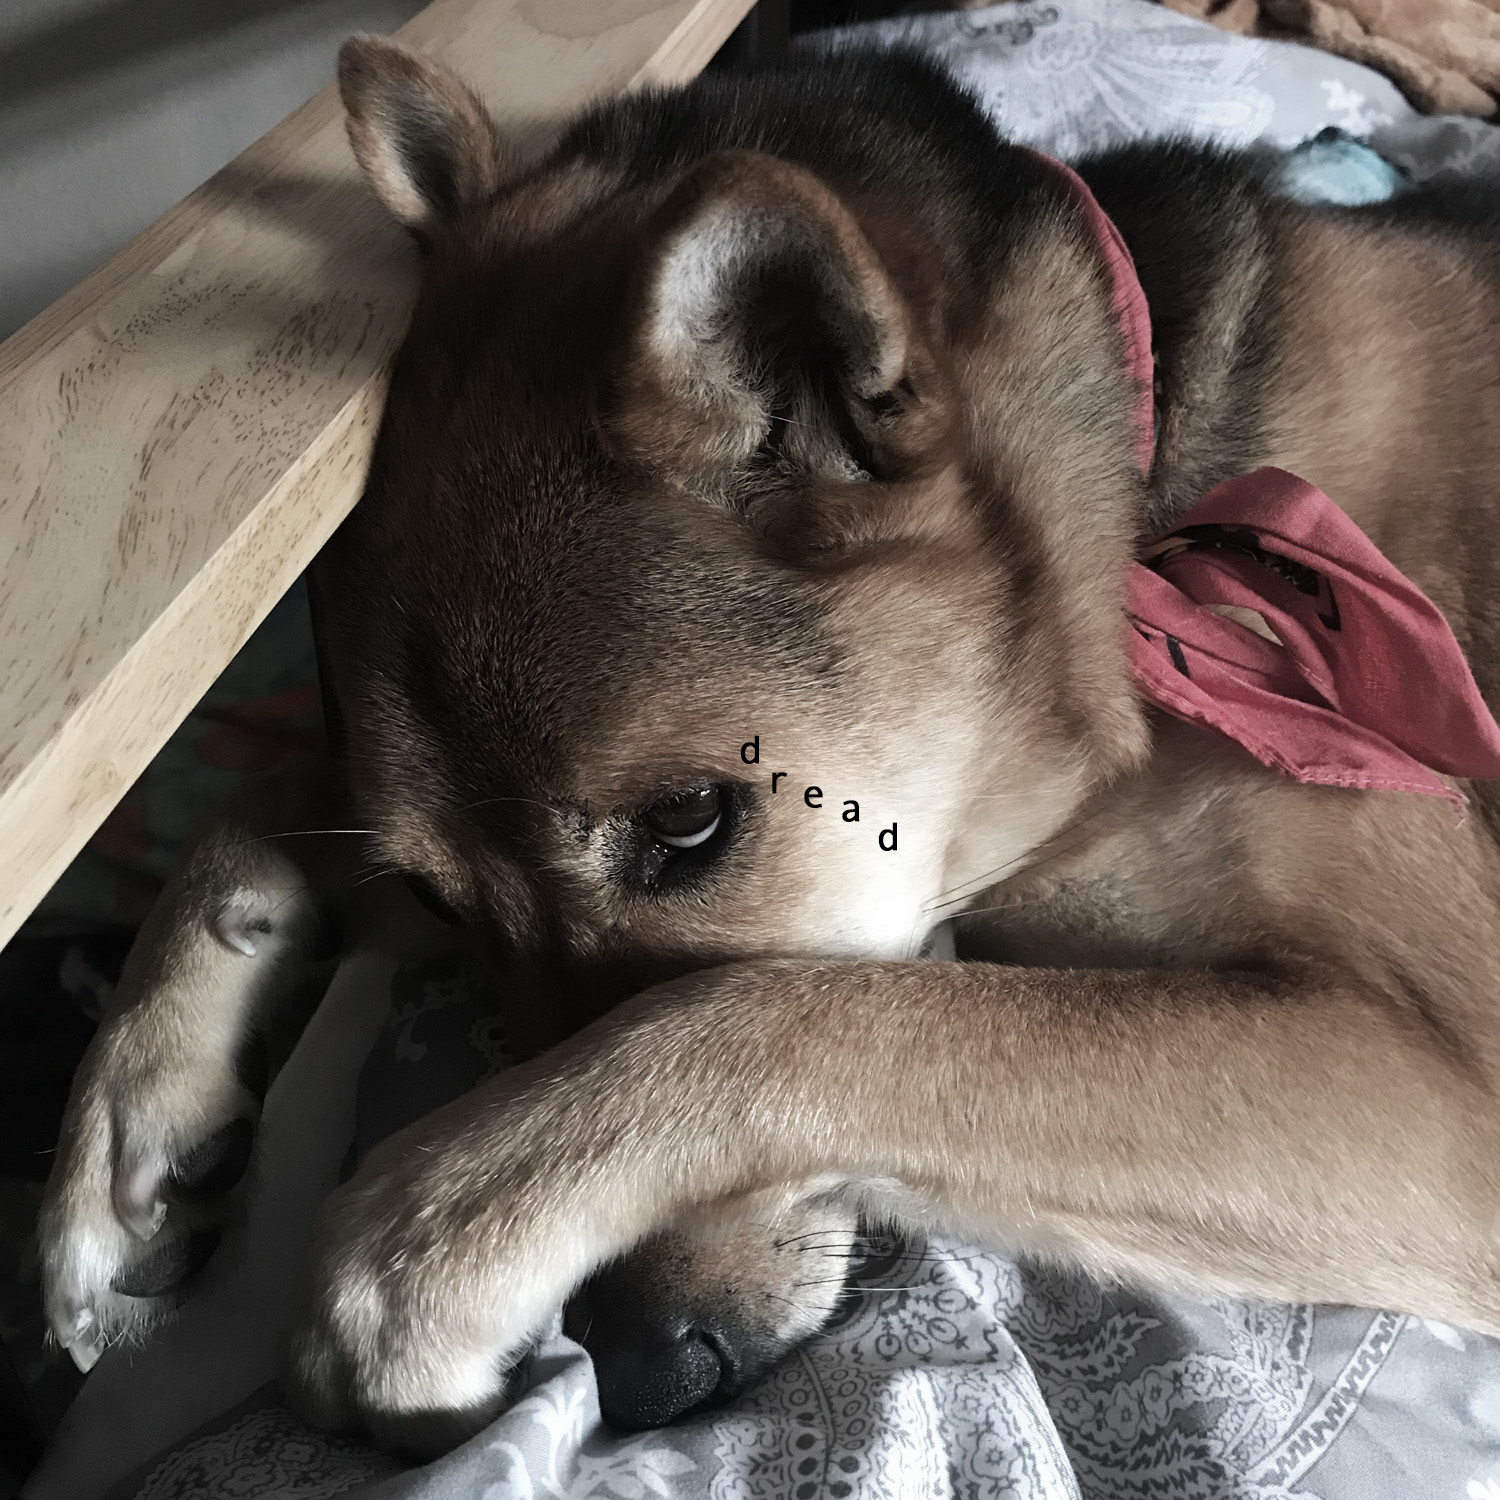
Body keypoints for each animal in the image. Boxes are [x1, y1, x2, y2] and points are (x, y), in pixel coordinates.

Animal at [37, 35, 1500, 1461]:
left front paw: (426, 1245)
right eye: (438, 907)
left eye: (692, 823)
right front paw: (133, 1119)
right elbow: (272, 795)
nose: (637, 1375)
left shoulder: (1443, 1072)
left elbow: (802, 1011)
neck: (1129, 539)